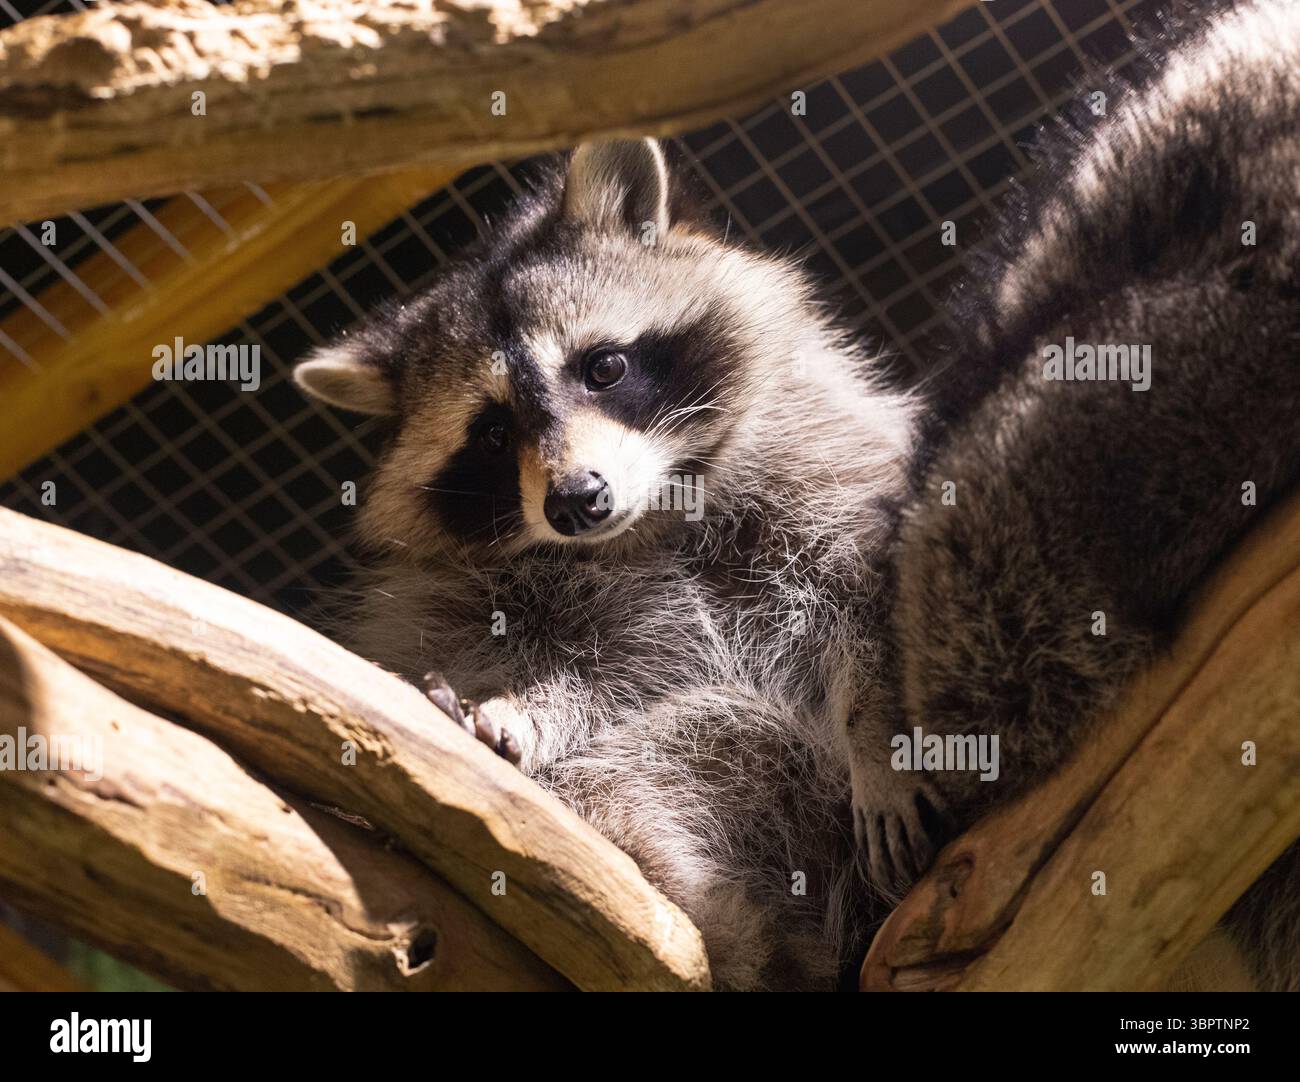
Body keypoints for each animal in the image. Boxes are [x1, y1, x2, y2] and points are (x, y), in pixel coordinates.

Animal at [294, 138, 916, 989]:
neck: (650, 518)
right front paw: (527, 713)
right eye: (493, 434)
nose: (576, 500)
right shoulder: (480, 602)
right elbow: (600, 683)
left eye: (605, 367)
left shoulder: (822, 458)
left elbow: (865, 588)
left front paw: (878, 729)